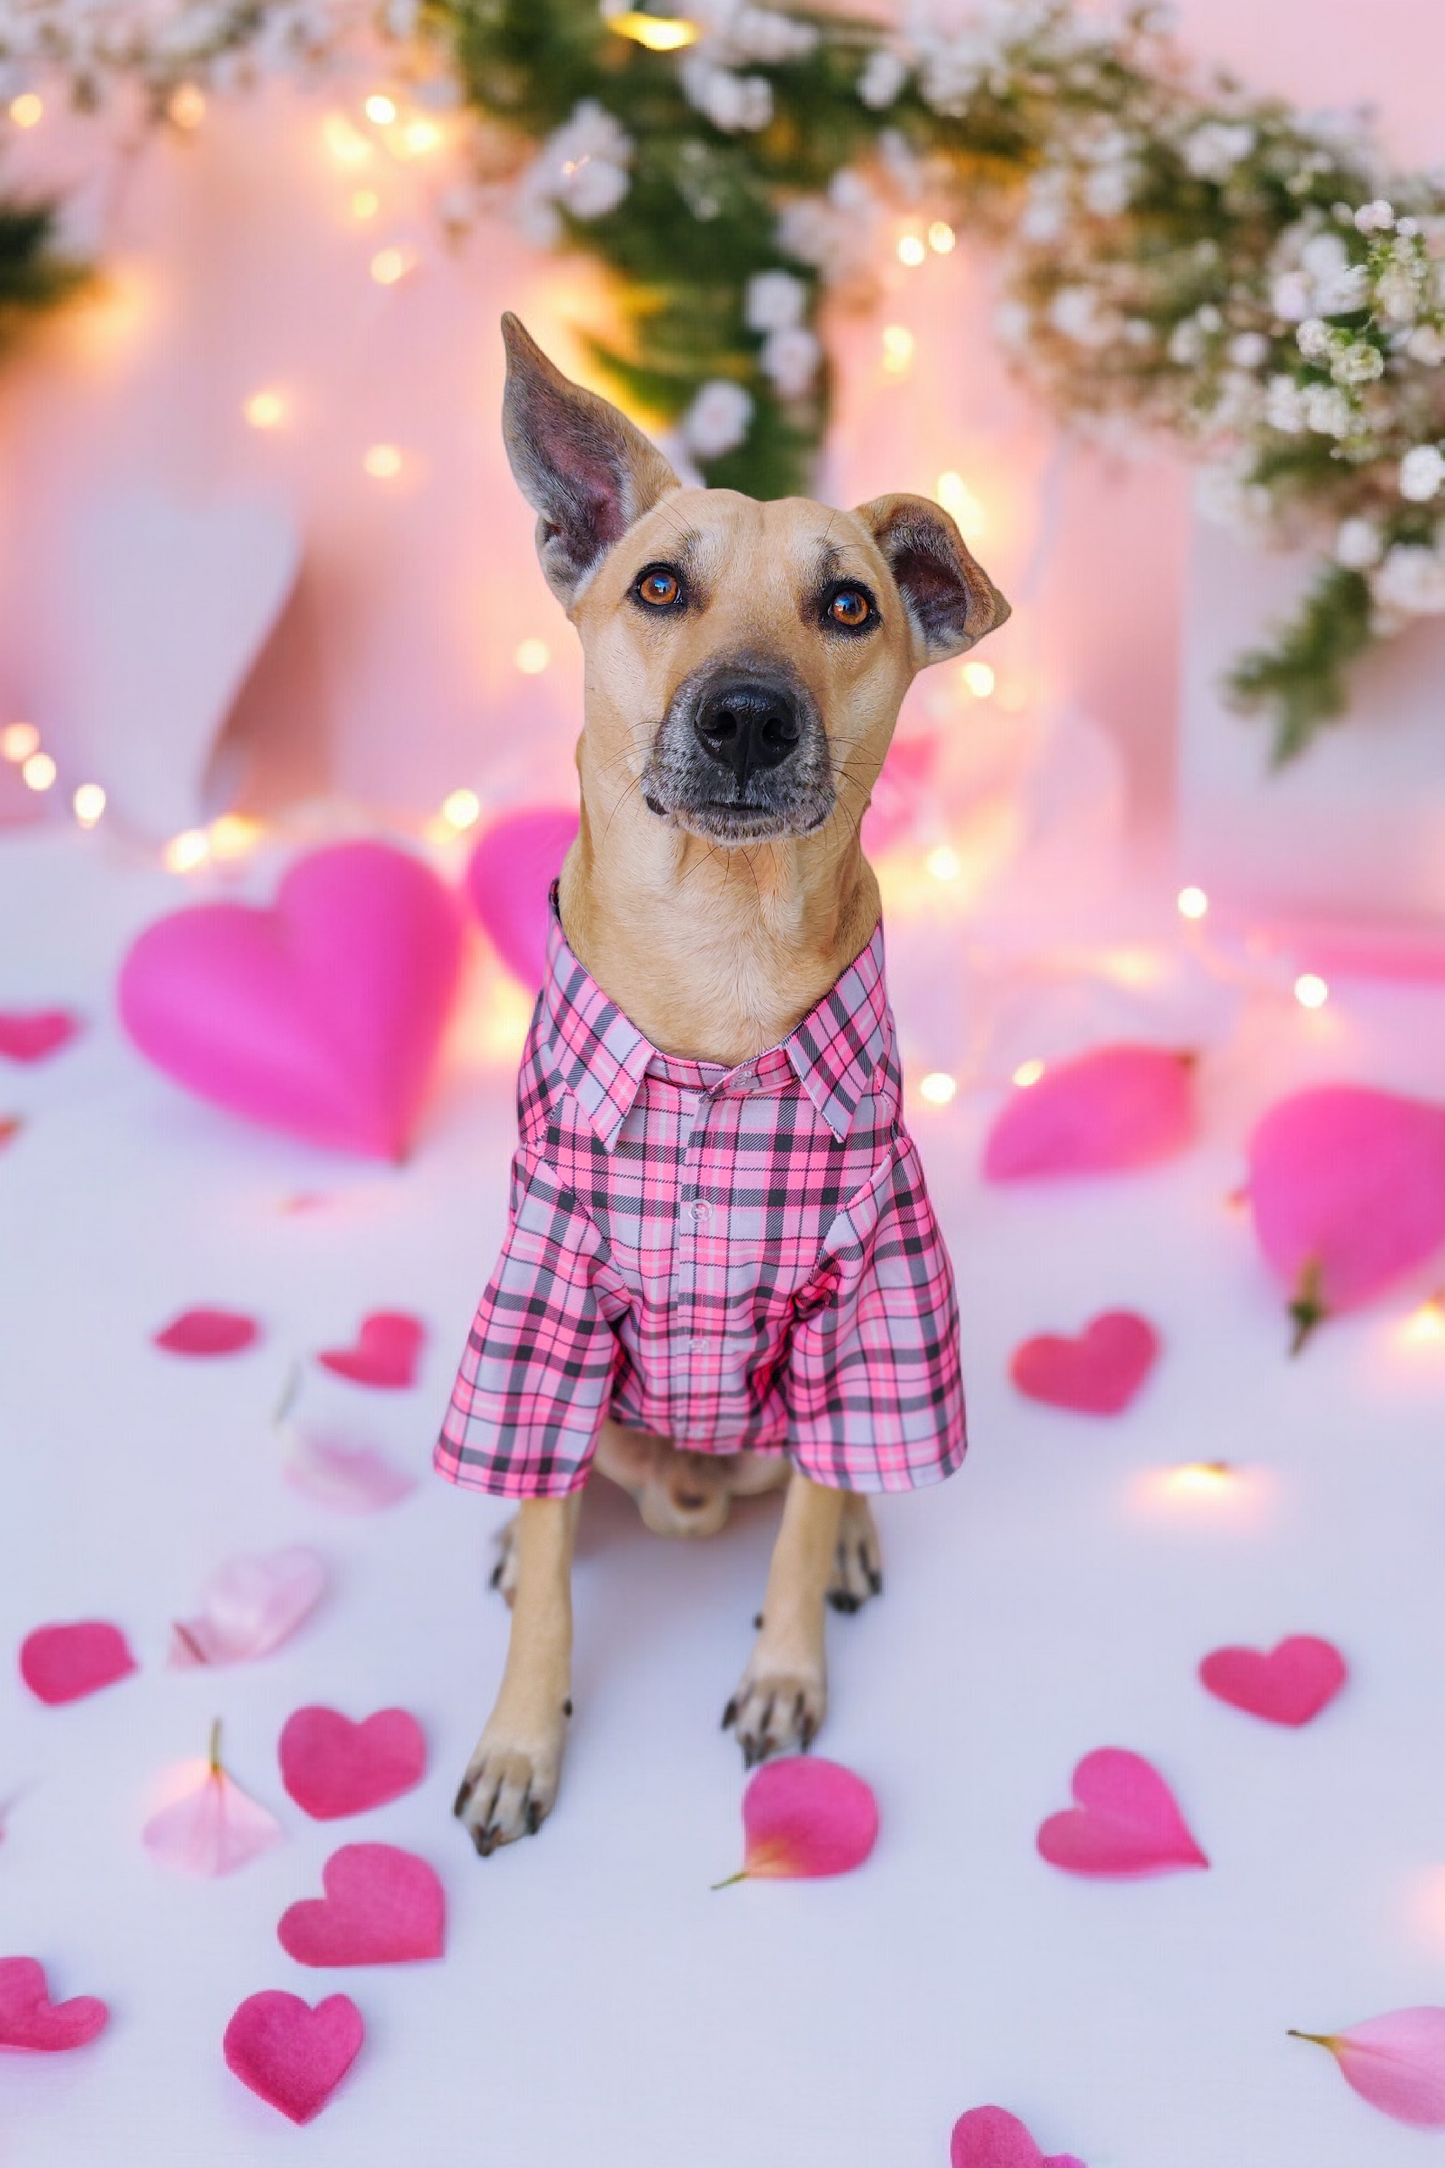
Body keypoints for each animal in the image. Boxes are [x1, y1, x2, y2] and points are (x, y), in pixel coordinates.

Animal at [435, 314, 1013, 1855]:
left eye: (850, 606)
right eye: (658, 585)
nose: (748, 717)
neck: (720, 967)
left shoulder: (863, 1299)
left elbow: (806, 1520)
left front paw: (785, 1667)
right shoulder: (549, 1306)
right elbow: (549, 1564)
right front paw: (520, 1736)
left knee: (829, 1470)